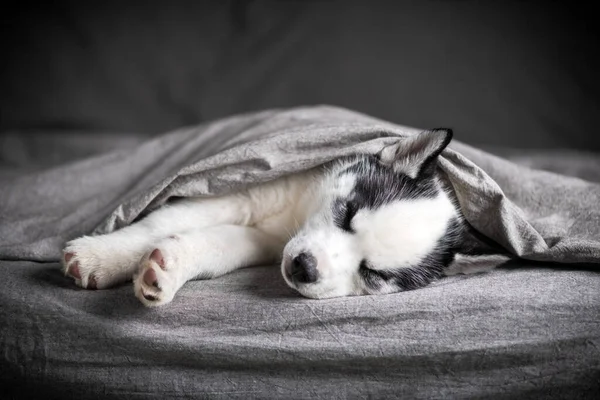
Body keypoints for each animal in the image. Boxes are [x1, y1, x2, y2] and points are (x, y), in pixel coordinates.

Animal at [63, 128, 500, 306]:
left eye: (373, 275)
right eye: (347, 212)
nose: (304, 267)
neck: (299, 211)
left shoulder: (263, 243)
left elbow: (216, 247)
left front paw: (166, 271)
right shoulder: (240, 195)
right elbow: (159, 223)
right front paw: (101, 256)